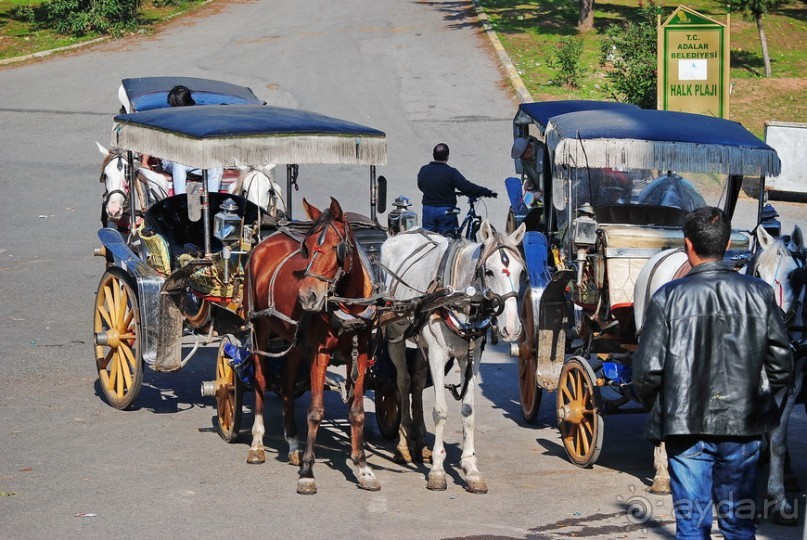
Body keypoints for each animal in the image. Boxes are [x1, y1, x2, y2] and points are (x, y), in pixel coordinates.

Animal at [245, 197, 380, 494]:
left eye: (337, 247)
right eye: (306, 248)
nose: (307, 296)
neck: (347, 306)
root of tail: (265, 242)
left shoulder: (361, 352)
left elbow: (357, 412)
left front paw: (363, 467)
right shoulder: (320, 353)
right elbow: (316, 411)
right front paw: (308, 471)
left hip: (294, 342)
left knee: (285, 383)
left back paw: (293, 444)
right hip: (259, 327)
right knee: (260, 379)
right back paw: (257, 442)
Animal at [380, 220, 528, 494]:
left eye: (521, 272)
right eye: (489, 272)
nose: (511, 329)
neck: (461, 298)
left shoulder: (472, 357)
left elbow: (468, 412)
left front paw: (471, 469)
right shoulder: (438, 354)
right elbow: (440, 410)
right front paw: (438, 471)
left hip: (421, 343)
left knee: (417, 384)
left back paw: (421, 442)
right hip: (395, 335)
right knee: (403, 382)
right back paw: (404, 444)